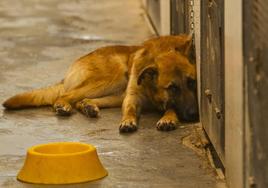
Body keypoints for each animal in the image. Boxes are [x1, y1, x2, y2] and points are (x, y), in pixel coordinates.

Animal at [2, 34, 199, 133]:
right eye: (172, 88)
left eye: (192, 82)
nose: (195, 115)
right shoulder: (132, 97)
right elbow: (129, 109)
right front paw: (127, 121)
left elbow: (171, 107)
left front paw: (168, 118)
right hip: (112, 76)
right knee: (66, 95)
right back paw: (63, 106)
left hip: (115, 91)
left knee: (82, 99)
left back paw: (88, 107)